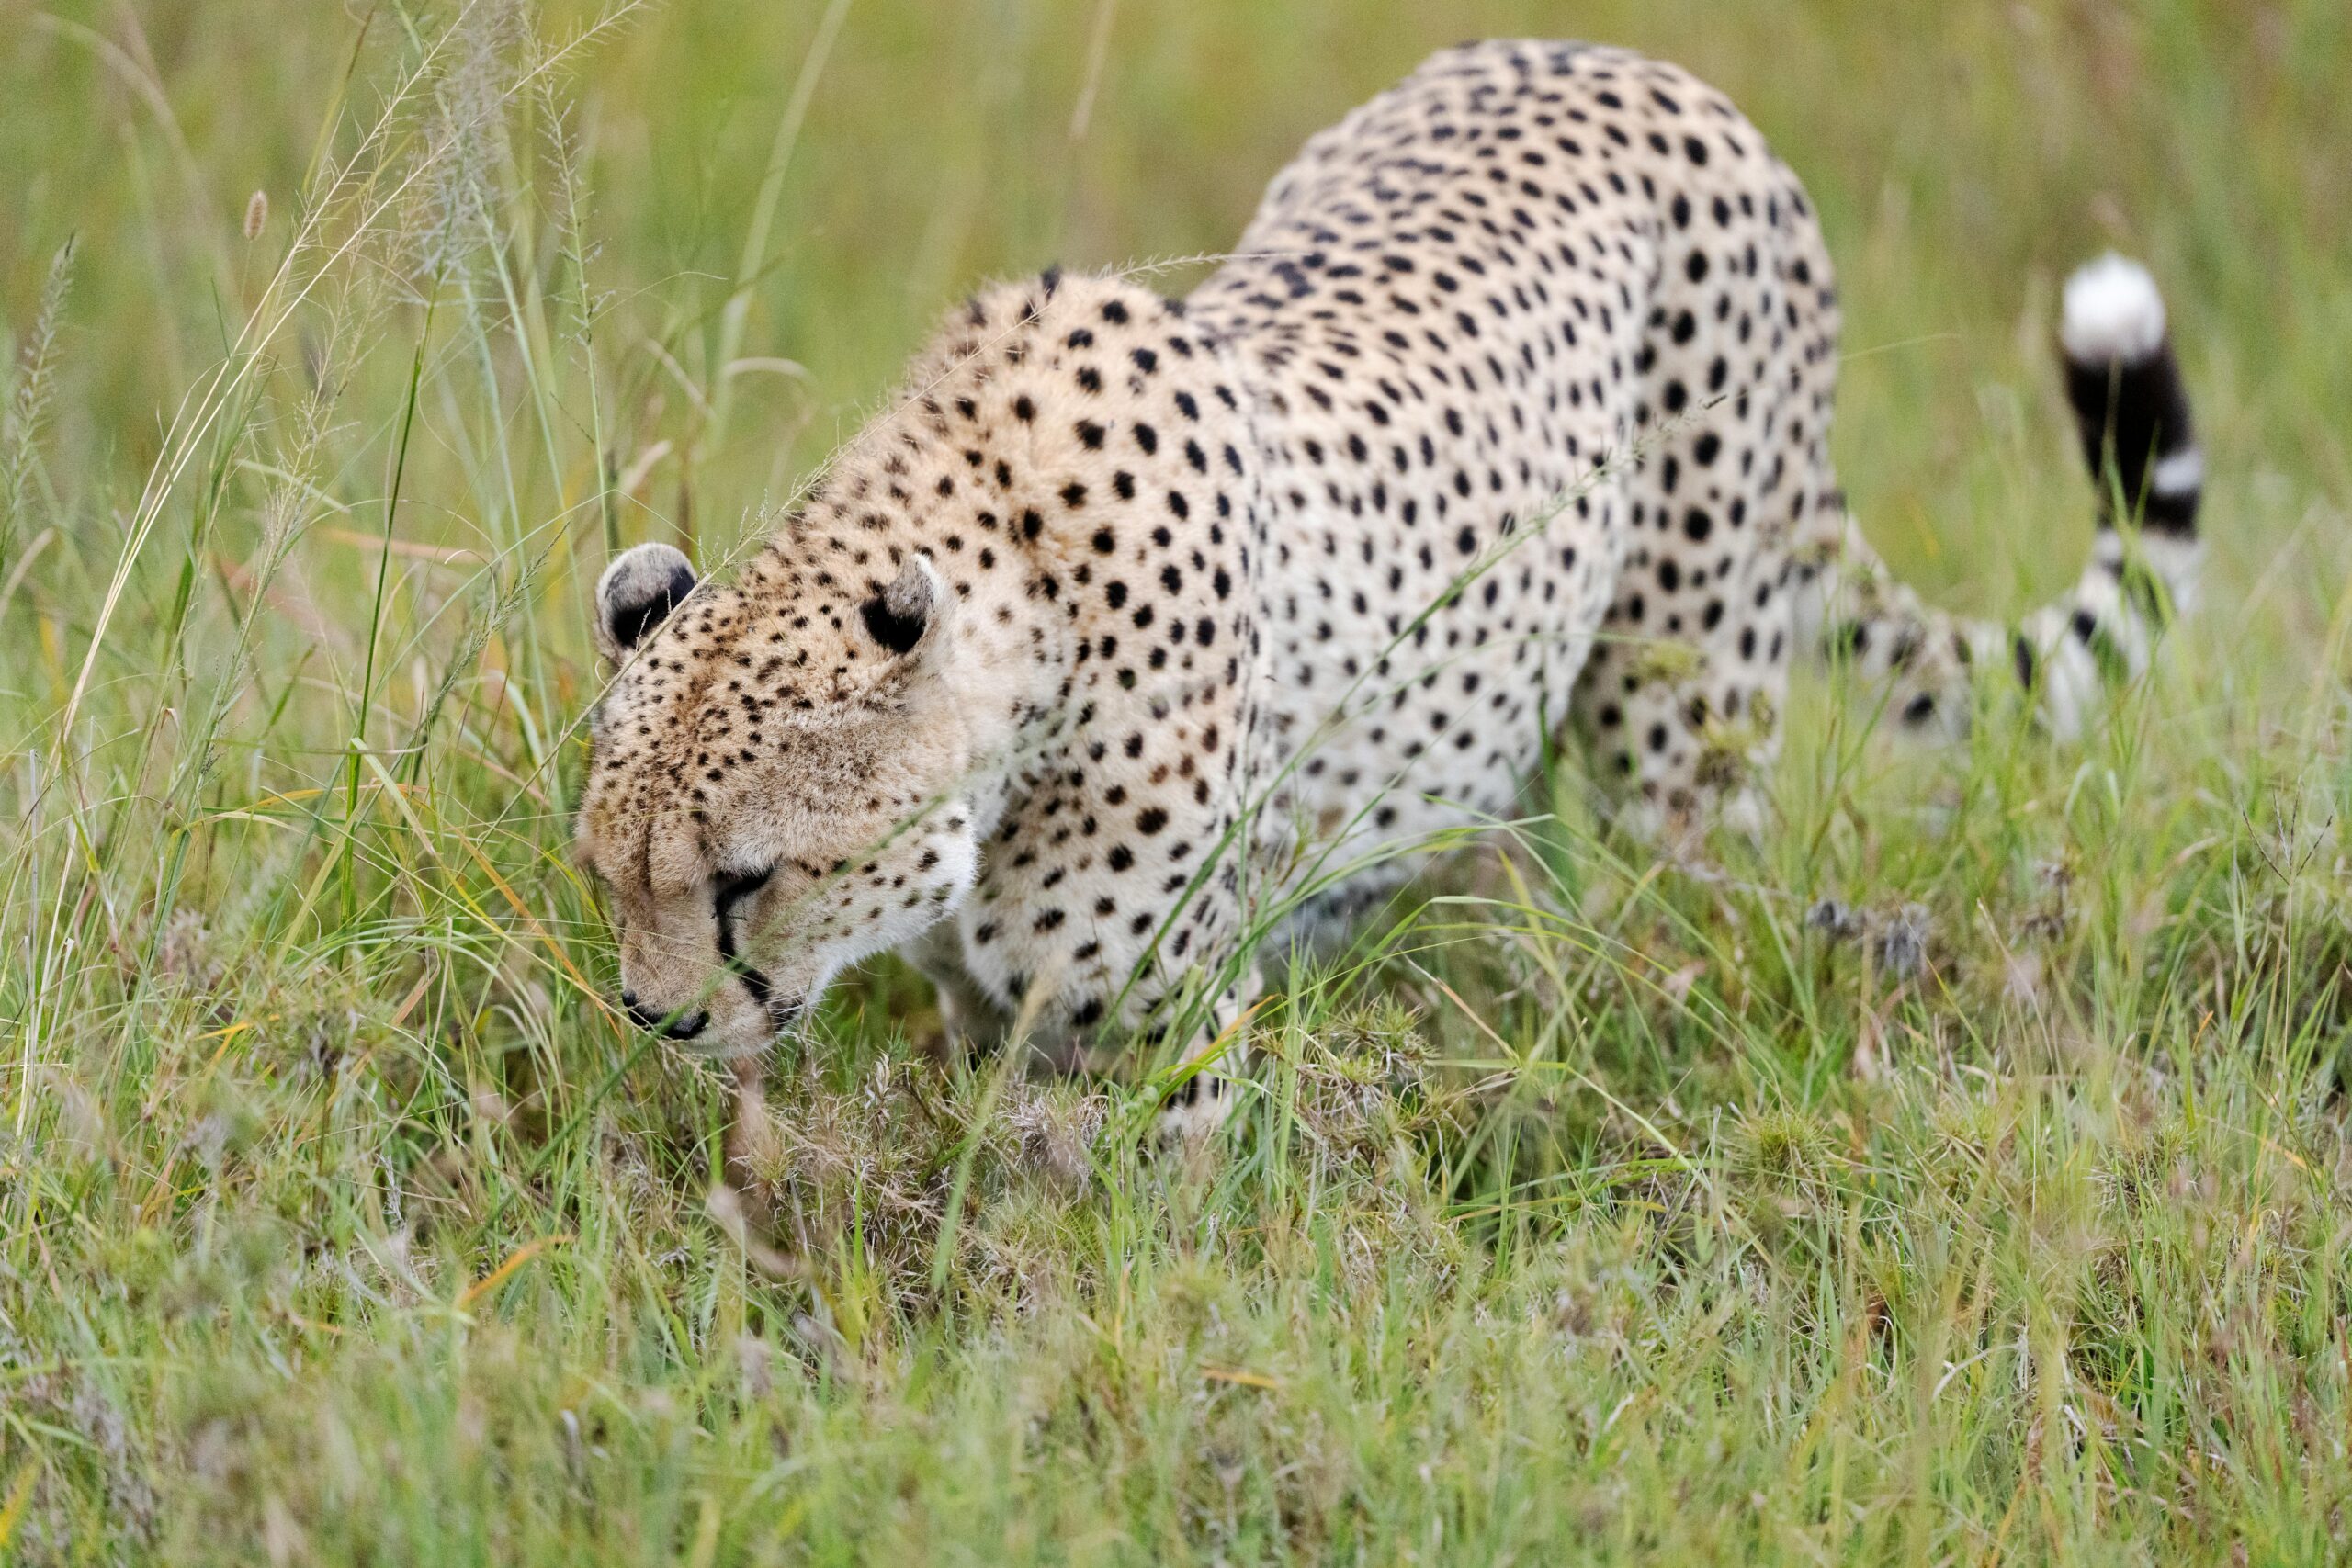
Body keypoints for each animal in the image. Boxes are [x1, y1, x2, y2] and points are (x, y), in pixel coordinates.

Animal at [572, 41, 2203, 1140]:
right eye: (606, 873)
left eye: (744, 878)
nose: (657, 1013)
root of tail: (1635, 63)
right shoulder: (1000, 1012)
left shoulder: (1172, 1035)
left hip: (1680, 734)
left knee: (1693, 920)